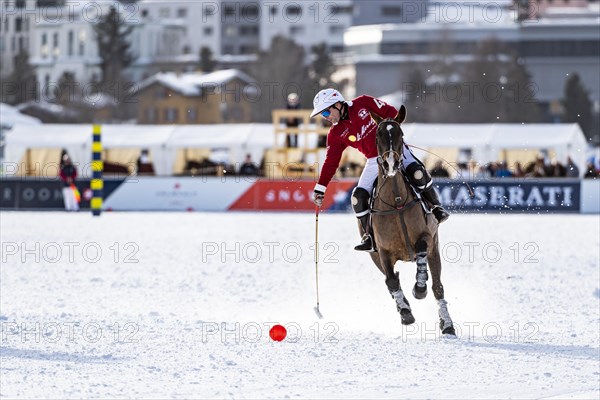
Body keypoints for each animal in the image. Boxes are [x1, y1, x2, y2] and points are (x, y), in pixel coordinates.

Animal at [366, 105, 454, 334]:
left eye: (401, 134)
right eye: (377, 136)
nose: (390, 163)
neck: (396, 202)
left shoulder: (428, 238)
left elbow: (421, 250)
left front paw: (419, 287)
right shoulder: (383, 252)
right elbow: (391, 281)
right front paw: (405, 312)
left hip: (436, 250)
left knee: (438, 287)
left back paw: (447, 325)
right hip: (374, 256)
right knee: (391, 281)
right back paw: (404, 307)